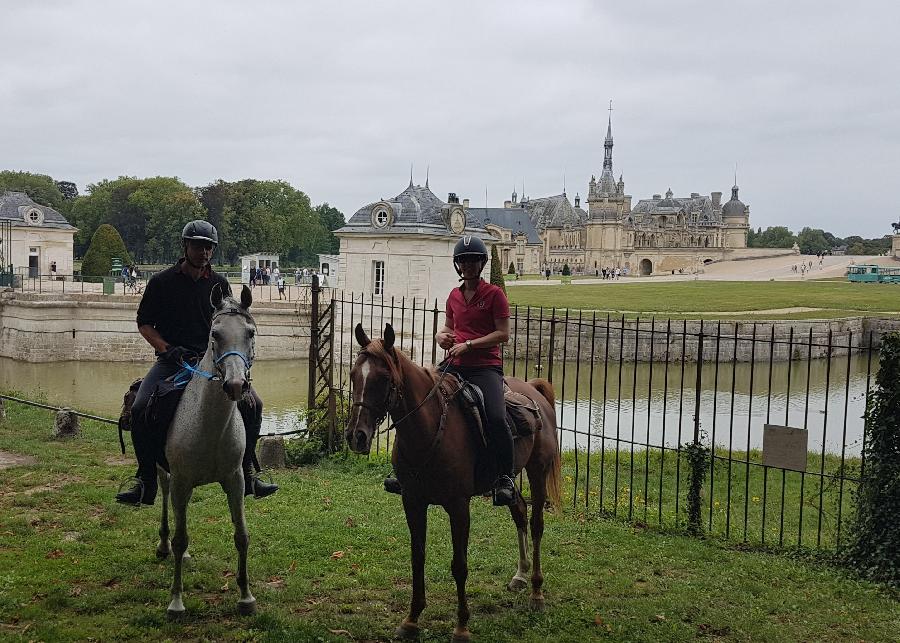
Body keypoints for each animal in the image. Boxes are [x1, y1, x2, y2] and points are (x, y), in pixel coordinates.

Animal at [155, 284, 256, 616]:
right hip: (166, 473)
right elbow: (181, 537)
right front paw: (176, 601)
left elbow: (241, 535)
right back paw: (164, 545)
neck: (210, 426)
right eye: (215, 333)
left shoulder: (235, 480)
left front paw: (245, 596)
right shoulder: (182, 480)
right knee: (165, 494)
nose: (236, 385)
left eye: (250, 332)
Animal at [346, 324, 564, 640]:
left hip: (537, 472)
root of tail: (533, 390)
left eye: (384, 378)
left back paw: (536, 591)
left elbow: (459, 565)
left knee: (536, 526)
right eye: (353, 374)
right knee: (520, 512)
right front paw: (411, 619)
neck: (428, 429)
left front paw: (461, 626)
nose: (356, 436)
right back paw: (520, 575)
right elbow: (417, 557)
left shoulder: (459, 507)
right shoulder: (412, 502)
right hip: (509, 481)